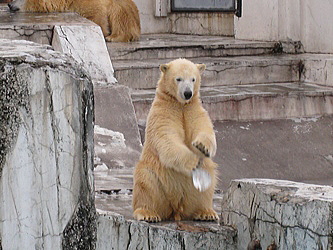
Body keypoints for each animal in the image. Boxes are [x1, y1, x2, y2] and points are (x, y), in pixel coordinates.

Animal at [7, 0, 140, 42]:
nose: (9, 4)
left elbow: (96, 14)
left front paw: (103, 32)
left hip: (123, 8)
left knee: (120, 19)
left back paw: (113, 37)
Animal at [132, 58, 218, 221]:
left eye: (193, 79)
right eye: (178, 79)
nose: (188, 93)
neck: (180, 104)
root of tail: (176, 209)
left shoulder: (193, 109)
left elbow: (204, 129)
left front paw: (202, 147)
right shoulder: (163, 112)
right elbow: (168, 139)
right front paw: (193, 161)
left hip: (194, 188)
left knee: (207, 185)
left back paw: (205, 212)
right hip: (156, 177)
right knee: (146, 182)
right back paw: (148, 213)